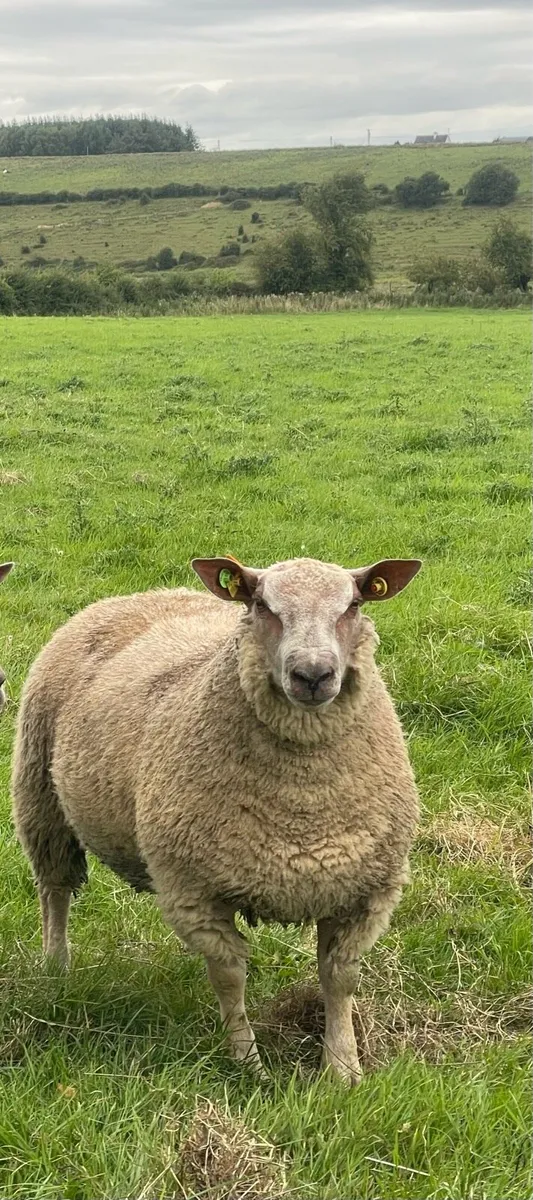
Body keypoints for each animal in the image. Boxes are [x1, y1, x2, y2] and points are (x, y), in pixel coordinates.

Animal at [12, 553, 421, 1085]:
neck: (303, 801)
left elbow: (339, 977)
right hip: (40, 798)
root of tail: (143, 594)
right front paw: (247, 1064)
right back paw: (56, 966)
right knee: (55, 891)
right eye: (262, 604)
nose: (312, 674)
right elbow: (229, 976)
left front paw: (343, 1069)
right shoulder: (195, 892)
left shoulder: (366, 891)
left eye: (353, 605)